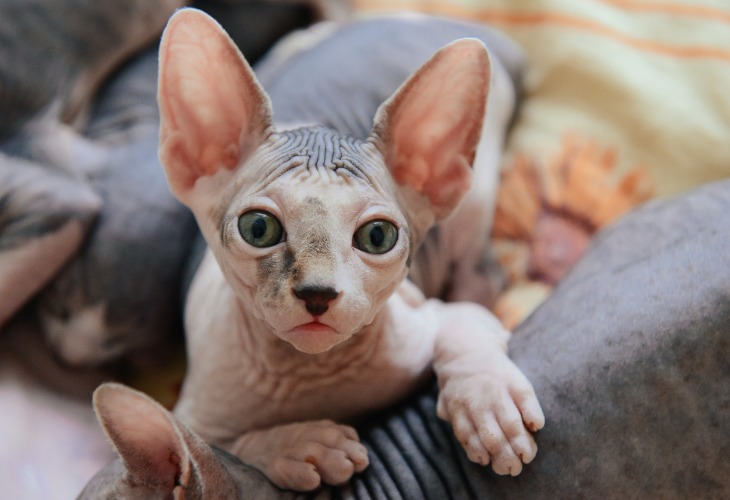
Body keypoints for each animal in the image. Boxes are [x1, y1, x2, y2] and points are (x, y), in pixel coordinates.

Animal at [159, 8, 544, 492]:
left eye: (377, 237)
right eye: (258, 228)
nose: (317, 293)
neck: (315, 370)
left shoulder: (424, 320)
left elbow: (464, 326)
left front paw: (488, 404)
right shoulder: (192, 411)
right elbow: (218, 449)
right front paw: (303, 445)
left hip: (474, 201)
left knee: (482, 276)